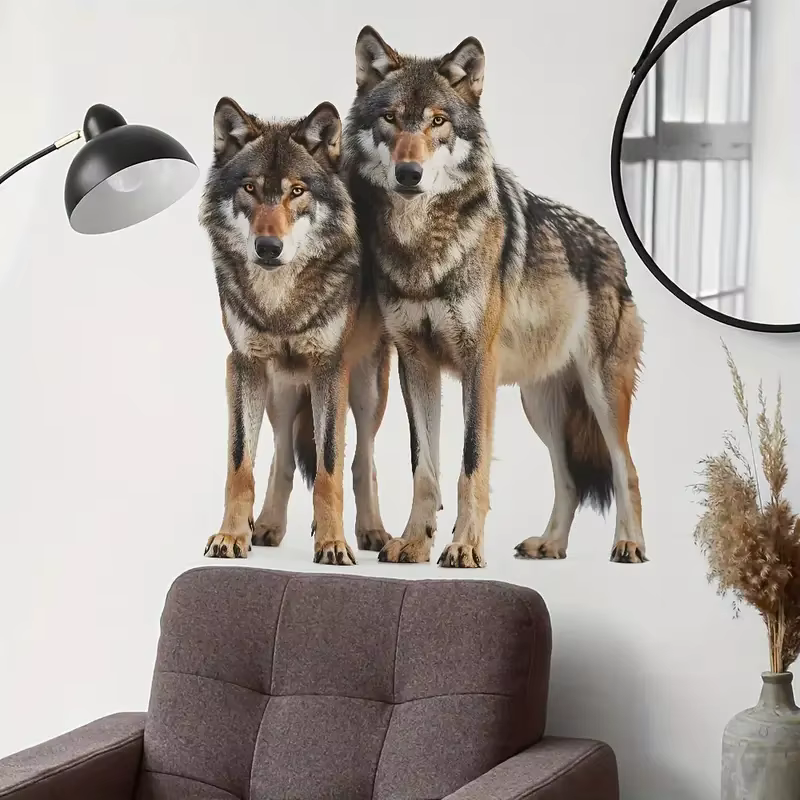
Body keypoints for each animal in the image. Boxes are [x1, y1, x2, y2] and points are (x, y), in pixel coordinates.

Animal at [199, 96, 392, 565]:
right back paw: (267, 527)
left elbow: (329, 470)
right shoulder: (243, 366)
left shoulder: (328, 369)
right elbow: (240, 466)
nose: (268, 247)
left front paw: (333, 543)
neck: (280, 304)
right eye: (250, 188)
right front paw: (231, 536)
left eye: (297, 191)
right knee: (282, 455)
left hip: (365, 391)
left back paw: (372, 531)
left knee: (362, 461)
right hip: (281, 391)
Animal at [343, 27, 646, 568]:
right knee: (568, 479)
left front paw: (464, 546)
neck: (423, 247)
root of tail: (613, 246)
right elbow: (424, 466)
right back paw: (550, 544)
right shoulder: (414, 363)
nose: (408, 173)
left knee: (625, 467)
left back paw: (628, 544)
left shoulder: (477, 366)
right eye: (391, 118)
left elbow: (471, 464)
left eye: (438, 121)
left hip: (600, 394)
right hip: (540, 407)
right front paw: (415, 542)